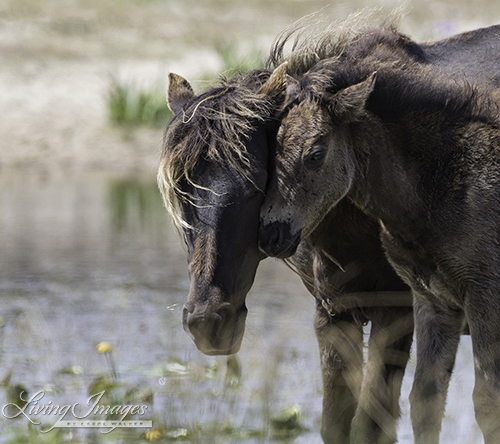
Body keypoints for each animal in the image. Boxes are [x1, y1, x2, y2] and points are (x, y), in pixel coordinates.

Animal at [161, 21, 500, 444]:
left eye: (255, 182)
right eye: (179, 190)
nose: (208, 322)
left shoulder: (398, 309)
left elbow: (373, 423)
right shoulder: (334, 311)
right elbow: (337, 421)